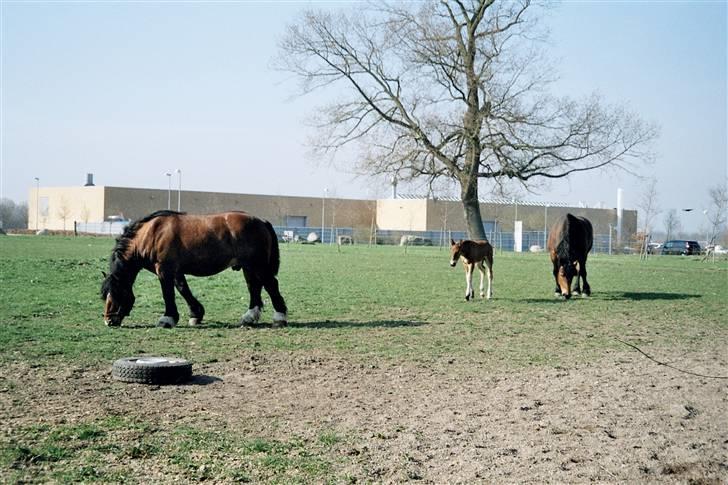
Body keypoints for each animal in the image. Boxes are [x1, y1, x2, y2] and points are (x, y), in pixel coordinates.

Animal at [100, 210, 288, 328]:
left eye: (117, 293)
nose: (109, 321)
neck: (151, 234)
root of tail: (261, 221)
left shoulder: (164, 270)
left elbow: (168, 293)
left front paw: (167, 319)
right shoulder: (175, 271)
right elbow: (183, 290)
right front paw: (196, 314)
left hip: (258, 266)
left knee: (271, 285)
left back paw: (279, 317)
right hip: (248, 267)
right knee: (254, 288)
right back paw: (249, 317)